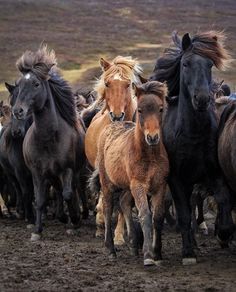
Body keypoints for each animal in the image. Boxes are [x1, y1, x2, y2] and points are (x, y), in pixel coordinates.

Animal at [12, 44, 86, 238]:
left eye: (36, 84)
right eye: (19, 84)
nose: (18, 111)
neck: (48, 139)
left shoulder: (67, 169)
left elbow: (68, 194)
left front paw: (74, 219)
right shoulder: (38, 173)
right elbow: (39, 200)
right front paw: (37, 230)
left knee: (71, 191)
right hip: (51, 175)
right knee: (58, 192)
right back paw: (61, 216)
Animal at [96, 81, 170, 266]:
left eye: (160, 109)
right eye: (141, 110)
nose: (152, 137)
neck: (149, 156)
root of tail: (111, 125)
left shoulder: (160, 185)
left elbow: (158, 217)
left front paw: (157, 253)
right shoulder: (139, 185)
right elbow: (145, 215)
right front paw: (148, 256)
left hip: (127, 186)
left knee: (123, 203)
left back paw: (133, 246)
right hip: (107, 183)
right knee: (108, 208)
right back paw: (111, 249)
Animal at [151, 31, 234, 264]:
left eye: (209, 64)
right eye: (186, 64)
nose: (203, 99)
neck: (192, 135)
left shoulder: (215, 174)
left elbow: (224, 201)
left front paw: (223, 233)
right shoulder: (176, 179)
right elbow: (183, 214)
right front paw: (187, 252)